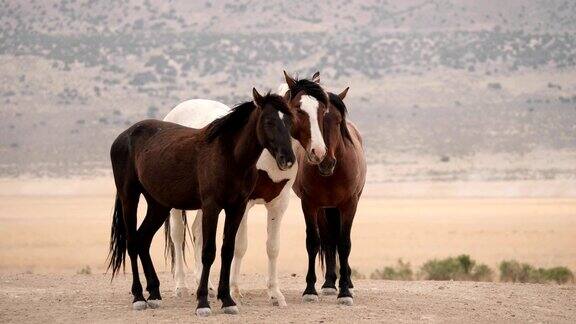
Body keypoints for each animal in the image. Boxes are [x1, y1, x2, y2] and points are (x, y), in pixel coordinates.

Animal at [106, 89, 300, 316]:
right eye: (269, 121)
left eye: (290, 121)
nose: (287, 159)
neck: (228, 156)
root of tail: (124, 135)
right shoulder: (211, 207)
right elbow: (208, 252)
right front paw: (203, 302)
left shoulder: (237, 207)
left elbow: (227, 250)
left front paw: (227, 300)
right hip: (130, 197)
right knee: (132, 242)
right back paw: (138, 297)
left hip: (158, 205)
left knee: (142, 240)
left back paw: (154, 295)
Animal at [164, 71, 330, 306]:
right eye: (299, 109)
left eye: (323, 110)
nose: (318, 152)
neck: (267, 155)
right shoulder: (244, 203)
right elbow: (239, 245)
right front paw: (234, 291)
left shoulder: (278, 203)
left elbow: (273, 247)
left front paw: (275, 294)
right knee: (178, 236)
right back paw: (181, 286)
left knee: (197, 232)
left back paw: (205, 285)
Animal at [292, 86, 364, 306]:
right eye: (317, 121)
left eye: (339, 121)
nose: (326, 162)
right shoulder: (310, 204)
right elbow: (314, 242)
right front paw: (310, 290)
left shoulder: (349, 205)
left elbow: (345, 243)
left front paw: (345, 292)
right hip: (324, 210)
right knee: (328, 239)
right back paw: (330, 284)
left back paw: (346, 282)